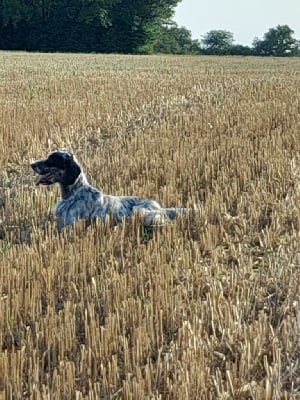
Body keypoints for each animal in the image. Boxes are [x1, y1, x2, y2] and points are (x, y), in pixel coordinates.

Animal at [29, 151, 185, 231]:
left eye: (51, 160)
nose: (32, 164)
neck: (74, 193)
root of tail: (160, 207)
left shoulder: (69, 227)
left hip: (140, 211)